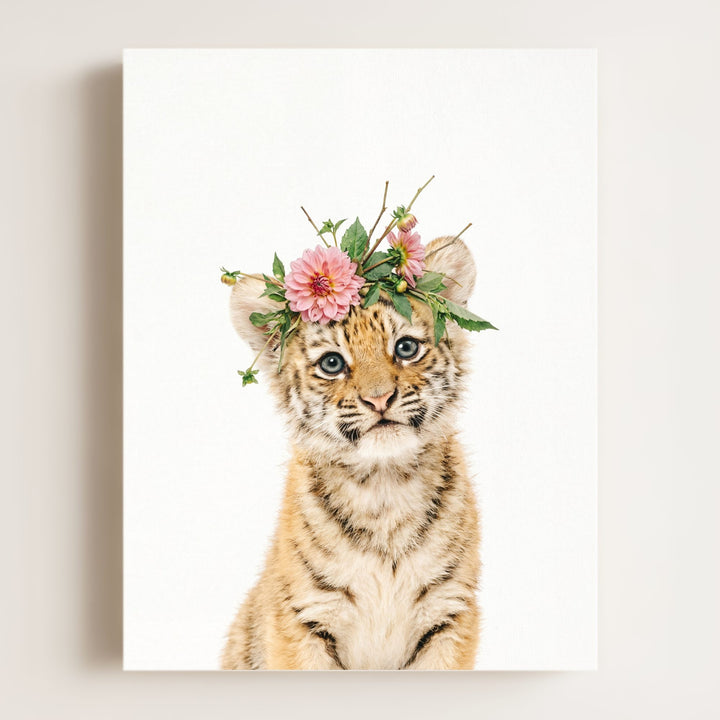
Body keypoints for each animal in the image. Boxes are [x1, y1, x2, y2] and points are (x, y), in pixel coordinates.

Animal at [221, 236, 481, 670]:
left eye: (406, 347)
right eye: (332, 363)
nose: (379, 399)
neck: (384, 486)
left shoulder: (449, 613)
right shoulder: (303, 618)